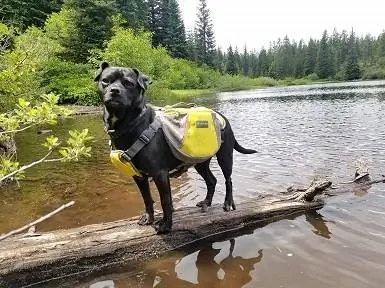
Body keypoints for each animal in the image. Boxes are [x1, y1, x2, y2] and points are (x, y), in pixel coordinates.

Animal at [94, 62, 255, 234]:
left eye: (128, 83)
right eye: (105, 81)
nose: (114, 91)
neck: (132, 124)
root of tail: (220, 115)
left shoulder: (160, 174)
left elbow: (165, 201)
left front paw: (166, 225)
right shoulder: (138, 176)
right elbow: (147, 199)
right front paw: (148, 217)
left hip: (225, 157)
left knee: (228, 180)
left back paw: (228, 203)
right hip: (200, 162)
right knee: (212, 181)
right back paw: (206, 202)